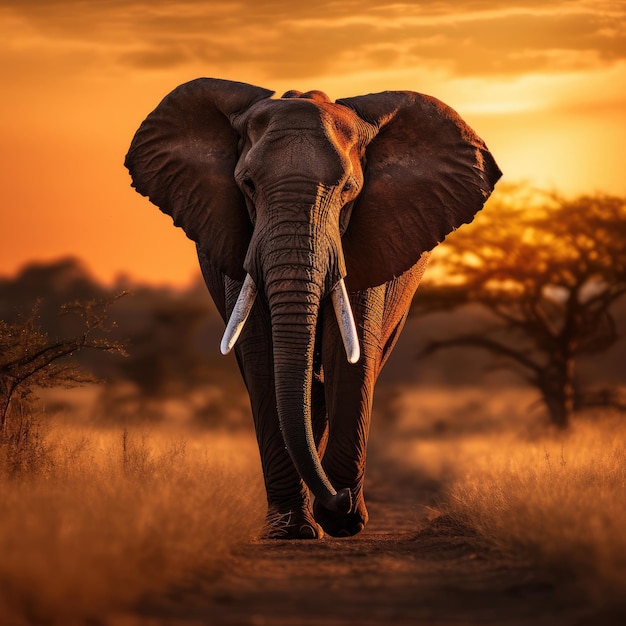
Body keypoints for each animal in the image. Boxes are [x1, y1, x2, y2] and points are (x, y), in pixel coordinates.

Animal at [124, 78, 500, 536]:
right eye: (248, 185)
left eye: (348, 190)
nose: (341, 500)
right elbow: (262, 354)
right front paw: (293, 529)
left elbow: (351, 352)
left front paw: (343, 520)